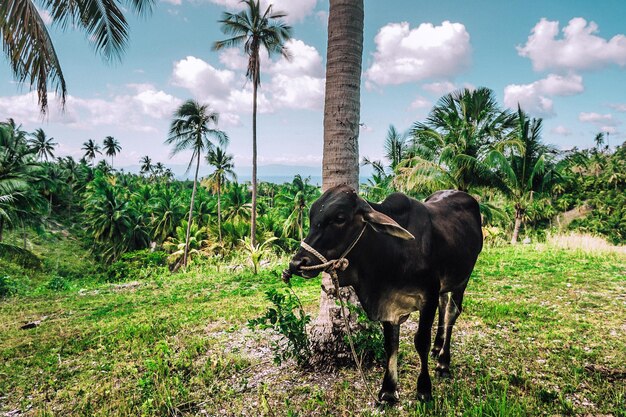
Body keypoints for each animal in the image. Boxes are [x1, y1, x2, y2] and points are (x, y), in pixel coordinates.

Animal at [286, 184, 480, 400]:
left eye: (339, 218)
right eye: (311, 216)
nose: (297, 263)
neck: (392, 251)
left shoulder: (428, 297)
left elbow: (421, 341)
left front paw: (424, 389)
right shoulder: (389, 303)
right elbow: (390, 344)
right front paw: (388, 390)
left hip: (462, 278)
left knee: (451, 314)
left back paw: (444, 362)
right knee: (443, 305)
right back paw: (438, 347)